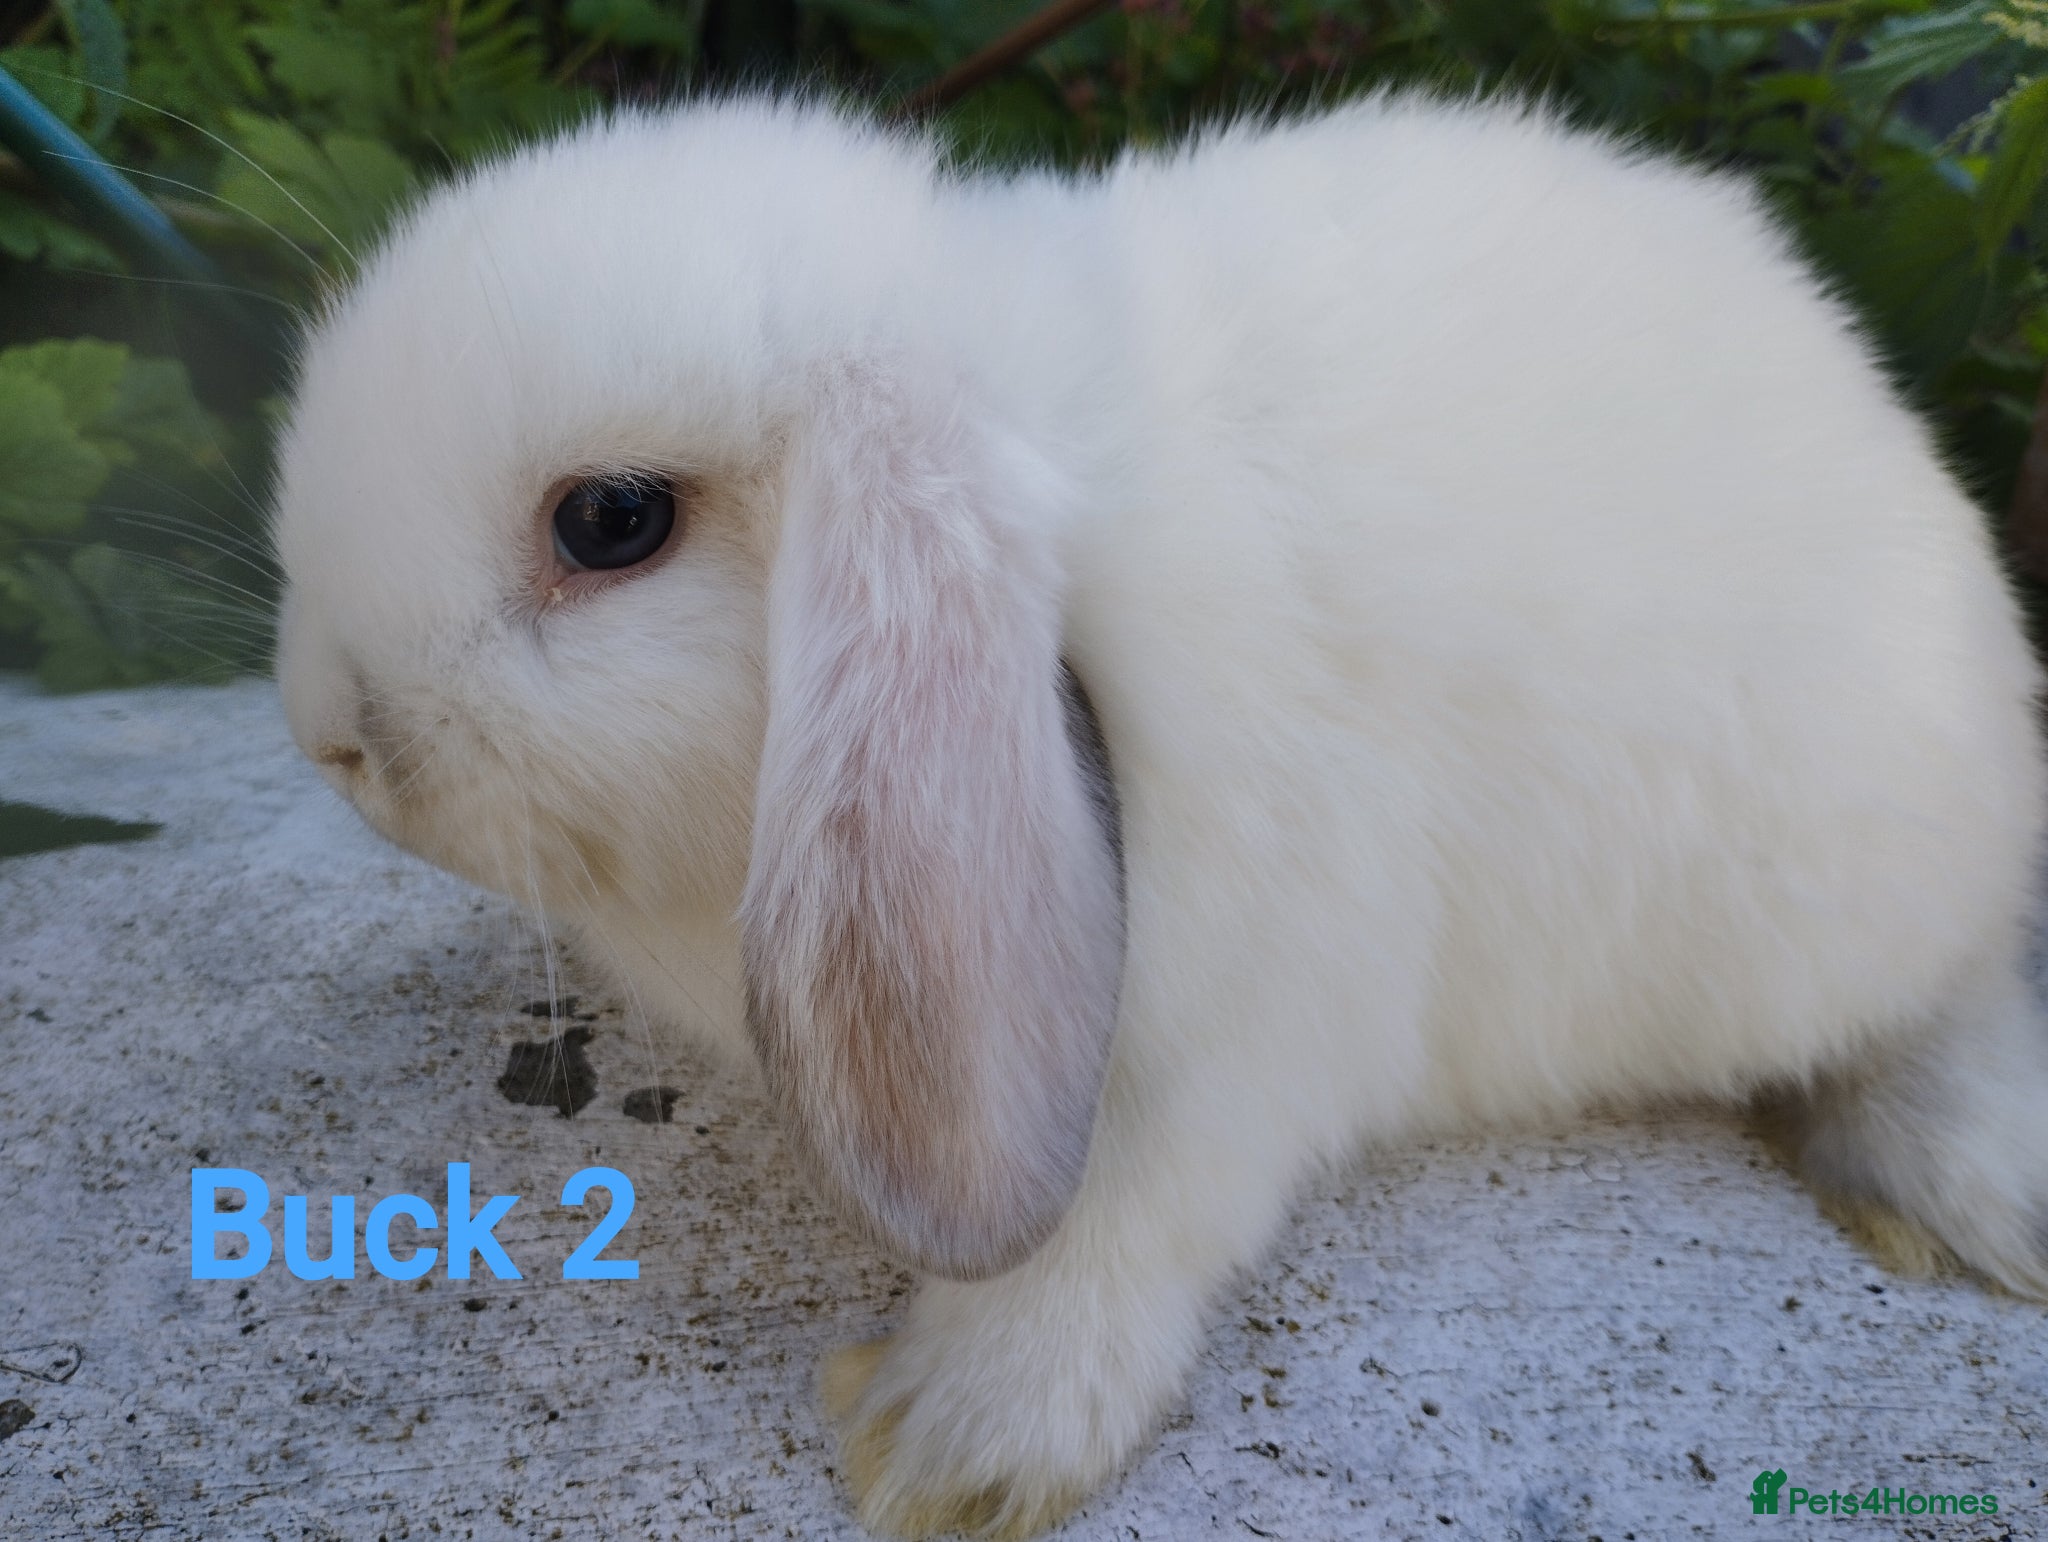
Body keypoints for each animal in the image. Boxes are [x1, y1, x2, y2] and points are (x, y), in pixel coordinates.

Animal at [271, 91, 2048, 1539]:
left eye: (611, 520)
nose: (327, 730)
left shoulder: (1243, 1033)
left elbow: (1117, 1229)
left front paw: (948, 1442)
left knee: (1949, 994)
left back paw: (1950, 1189)